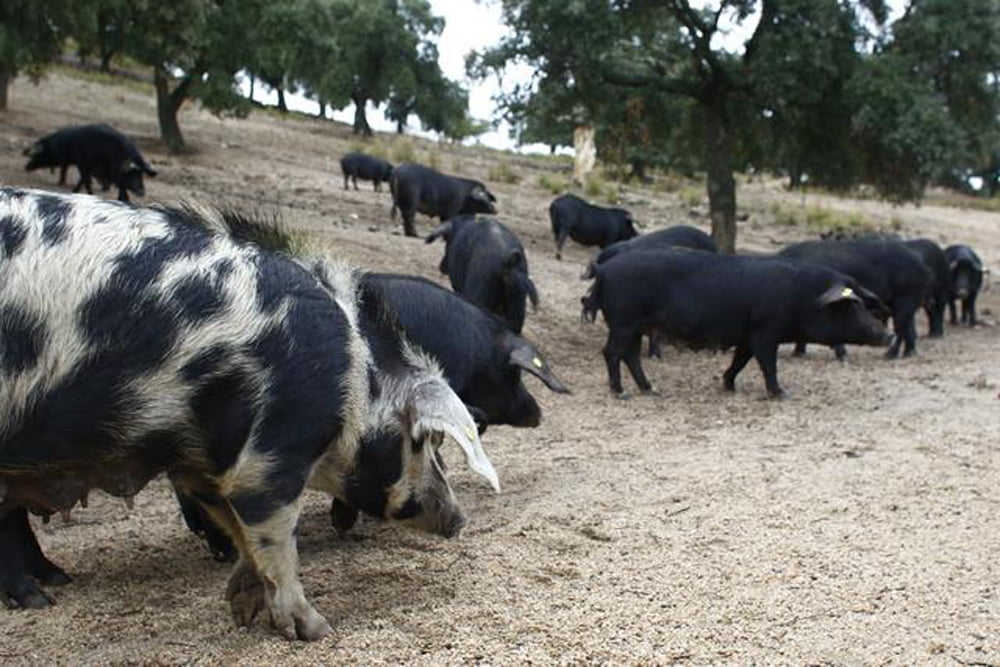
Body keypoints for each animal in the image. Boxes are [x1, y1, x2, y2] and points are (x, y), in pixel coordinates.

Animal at [0, 188, 498, 640]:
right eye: (427, 440)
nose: (459, 520)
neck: (354, 378)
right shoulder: (271, 450)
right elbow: (275, 538)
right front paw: (315, 629)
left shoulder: (201, 464)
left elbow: (236, 529)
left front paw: (241, 608)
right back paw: (39, 597)